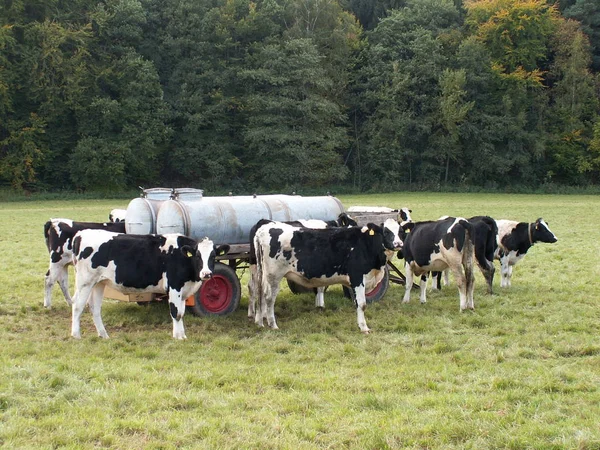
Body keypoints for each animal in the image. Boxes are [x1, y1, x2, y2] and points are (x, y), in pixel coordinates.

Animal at [70, 230, 229, 340]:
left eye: (213, 256)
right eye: (197, 256)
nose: (206, 273)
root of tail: (81, 234)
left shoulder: (184, 291)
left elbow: (181, 313)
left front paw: (182, 335)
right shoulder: (174, 286)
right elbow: (175, 312)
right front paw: (178, 337)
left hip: (98, 283)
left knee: (94, 308)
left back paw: (103, 335)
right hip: (85, 282)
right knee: (78, 306)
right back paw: (76, 335)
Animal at [252, 222, 390, 332]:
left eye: (396, 231)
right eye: (386, 232)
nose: (395, 244)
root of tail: (264, 228)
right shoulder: (357, 277)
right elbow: (362, 304)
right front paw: (364, 328)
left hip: (264, 275)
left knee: (260, 293)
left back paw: (260, 322)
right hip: (274, 276)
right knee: (269, 298)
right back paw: (273, 325)